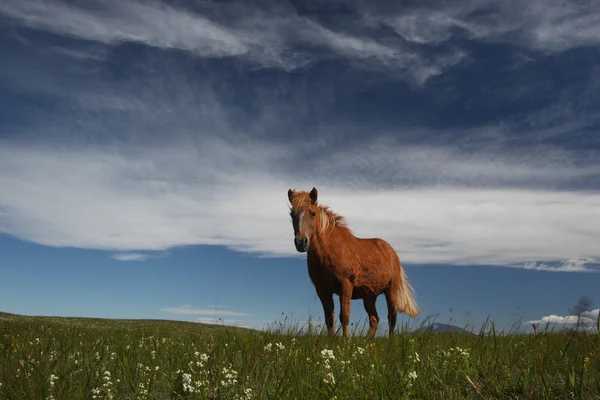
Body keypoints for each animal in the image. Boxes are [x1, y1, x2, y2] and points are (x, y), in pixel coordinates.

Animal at [288, 188, 420, 338]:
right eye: (292, 214)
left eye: (312, 213)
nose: (301, 242)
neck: (330, 249)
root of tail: (392, 252)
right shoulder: (322, 290)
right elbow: (329, 319)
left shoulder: (346, 285)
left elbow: (344, 317)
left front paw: (346, 341)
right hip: (369, 296)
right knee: (374, 319)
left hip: (391, 291)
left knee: (392, 317)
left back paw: (390, 341)